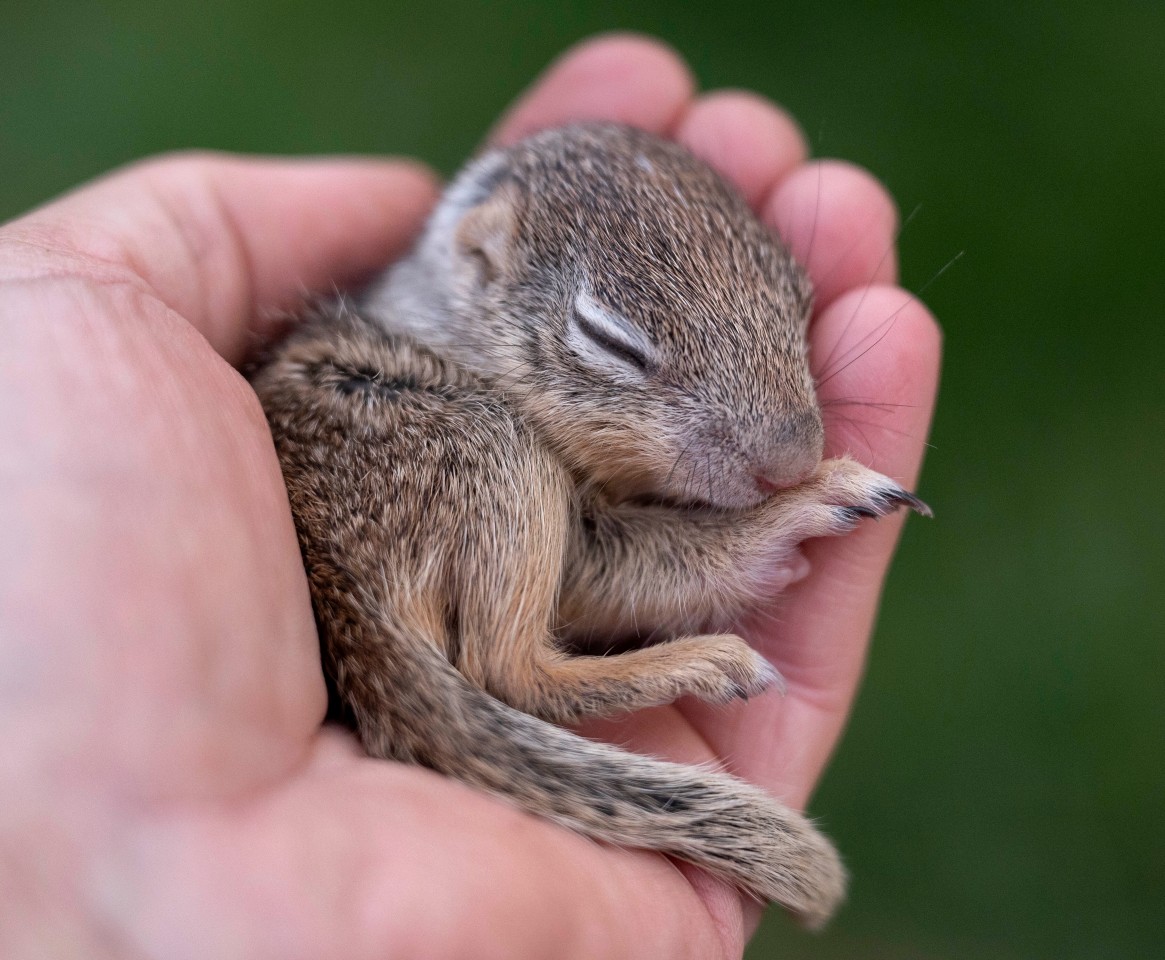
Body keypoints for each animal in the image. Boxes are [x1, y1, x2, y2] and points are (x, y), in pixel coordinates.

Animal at [248, 123, 927, 927]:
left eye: (800, 297)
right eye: (610, 340)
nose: (790, 463)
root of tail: (337, 591)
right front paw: (795, 513)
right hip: (488, 451)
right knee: (505, 668)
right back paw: (699, 661)